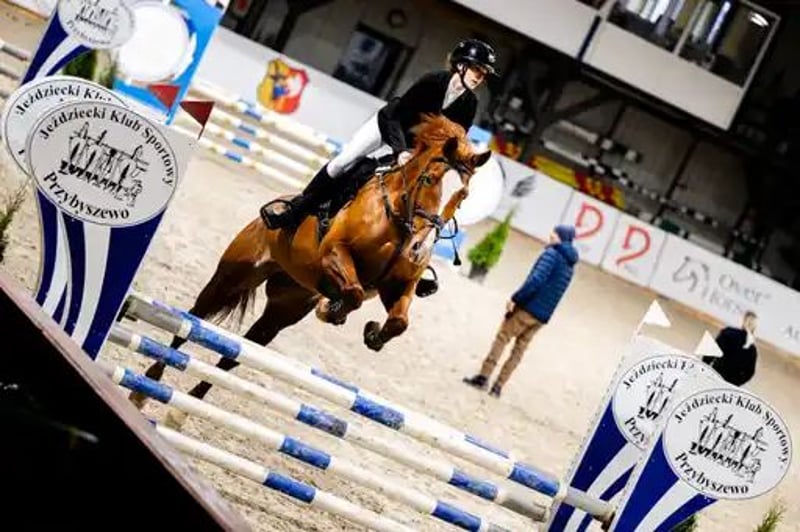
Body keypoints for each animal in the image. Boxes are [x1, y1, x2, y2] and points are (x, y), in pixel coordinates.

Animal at [129, 114, 491, 409]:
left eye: (463, 195)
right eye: (430, 180)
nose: (420, 249)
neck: (399, 220)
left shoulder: (398, 286)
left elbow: (399, 321)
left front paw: (373, 334)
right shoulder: (334, 255)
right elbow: (353, 292)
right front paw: (332, 310)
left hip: (284, 308)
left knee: (236, 355)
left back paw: (192, 399)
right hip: (231, 278)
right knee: (191, 320)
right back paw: (145, 387)